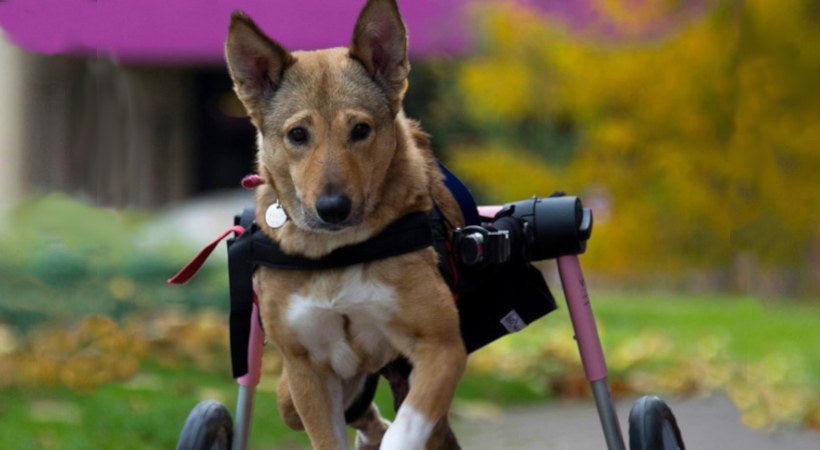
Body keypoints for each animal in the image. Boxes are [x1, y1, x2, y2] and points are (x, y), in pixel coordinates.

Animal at [224, 1, 468, 448]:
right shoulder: (306, 369)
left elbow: (407, 430)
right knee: (361, 414)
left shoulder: (442, 348)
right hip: (289, 396)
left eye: (360, 130)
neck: (336, 254)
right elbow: (329, 437)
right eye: (297, 134)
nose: (332, 208)